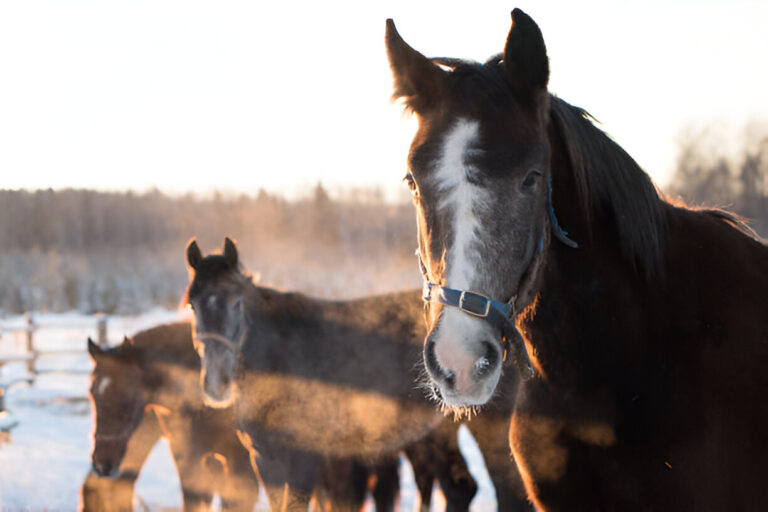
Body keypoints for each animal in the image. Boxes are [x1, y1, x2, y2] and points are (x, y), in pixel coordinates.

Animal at [184, 239, 532, 512]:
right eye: (192, 305)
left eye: (237, 303)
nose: (216, 383)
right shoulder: (265, 460)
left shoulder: (305, 459)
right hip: (436, 435)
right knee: (459, 489)